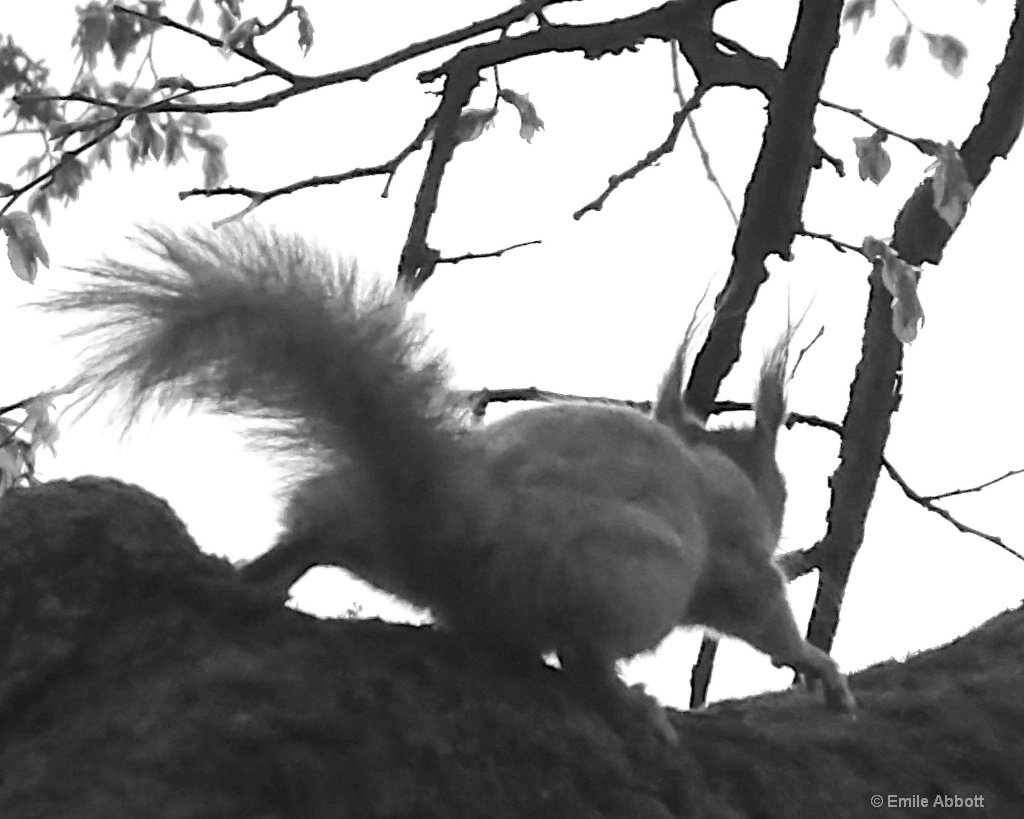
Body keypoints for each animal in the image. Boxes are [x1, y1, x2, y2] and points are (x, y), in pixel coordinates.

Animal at [44, 224, 851, 741]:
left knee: (325, 531)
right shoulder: (735, 549)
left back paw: (258, 579)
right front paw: (816, 664)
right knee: (582, 657)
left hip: (378, 537)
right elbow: (763, 611)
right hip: (630, 573)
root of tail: (444, 515)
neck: (705, 463)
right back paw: (625, 701)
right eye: (777, 478)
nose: (784, 505)